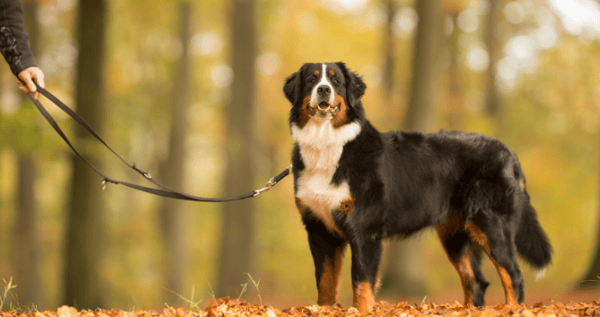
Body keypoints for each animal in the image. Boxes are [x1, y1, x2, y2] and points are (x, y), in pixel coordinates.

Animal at [284, 61, 552, 312]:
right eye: (312, 80)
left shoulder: (364, 229)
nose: (324, 90)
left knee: (513, 275)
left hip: (492, 226)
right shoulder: (320, 229)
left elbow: (361, 282)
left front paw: (360, 311)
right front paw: (323, 310)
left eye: (336, 80)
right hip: (455, 234)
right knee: (476, 280)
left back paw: (512, 309)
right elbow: (325, 283)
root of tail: (507, 151)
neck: (327, 145)